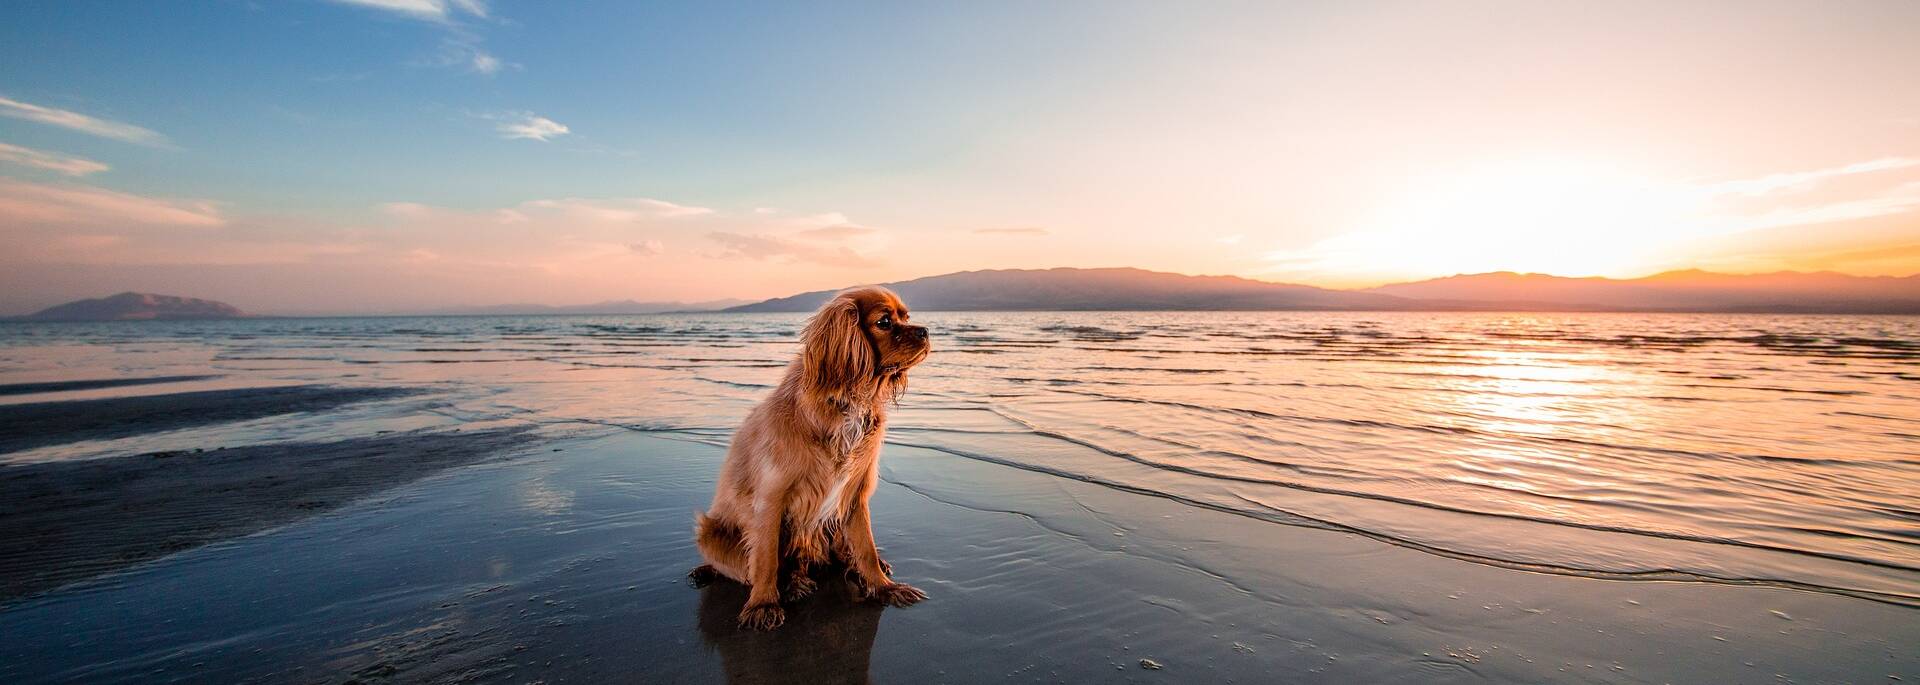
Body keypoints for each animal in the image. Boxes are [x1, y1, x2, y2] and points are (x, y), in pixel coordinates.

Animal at [691, 283, 929, 629]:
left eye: (906, 317)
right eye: (884, 322)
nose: (925, 331)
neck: (846, 403)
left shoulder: (854, 495)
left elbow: (866, 548)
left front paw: (884, 587)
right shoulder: (771, 498)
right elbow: (766, 559)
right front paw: (763, 603)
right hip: (710, 533)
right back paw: (792, 584)